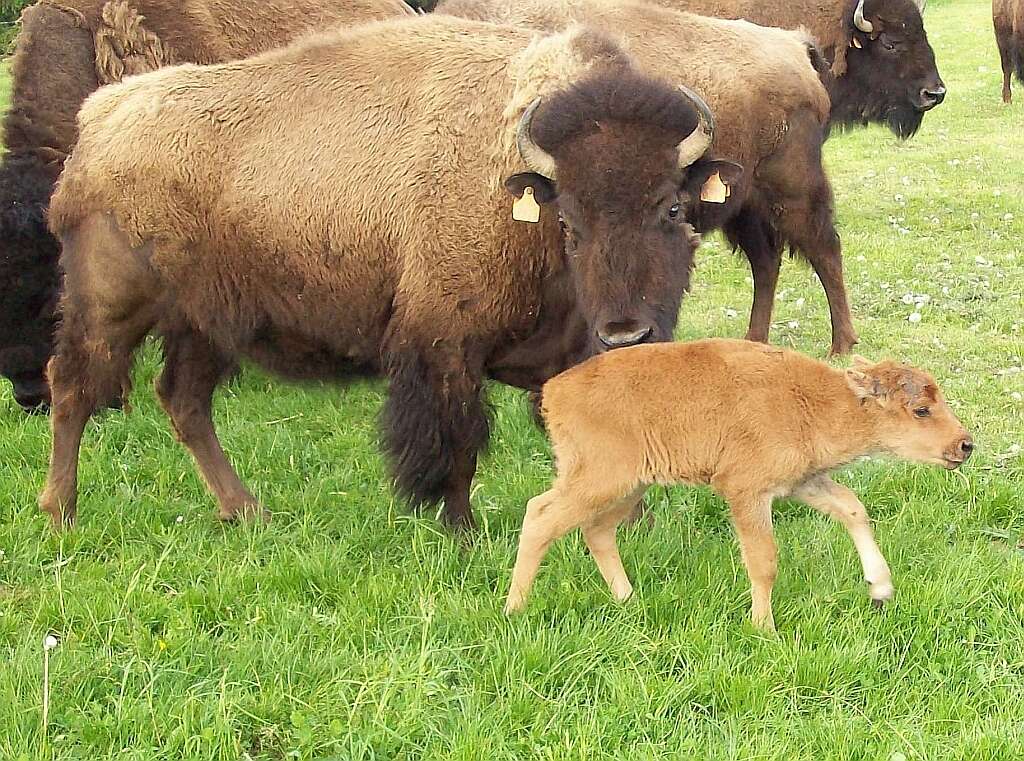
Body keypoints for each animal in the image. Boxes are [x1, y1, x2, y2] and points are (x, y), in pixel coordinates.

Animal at [41, 14, 745, 532]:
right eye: (568, 221)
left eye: (673, 207)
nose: (626, 334)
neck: (518, 188)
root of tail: (99, 118)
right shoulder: (445, 346)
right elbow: (457, 440)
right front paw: (460, 531)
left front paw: (627, 522)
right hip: (111, 304)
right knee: (73, 385)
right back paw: (62, 514)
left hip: (204, 323)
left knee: (183, 401)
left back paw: (247, 512)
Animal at [442, 0, 864, 354]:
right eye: (565, 221)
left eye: (673, 209)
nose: (625, 335)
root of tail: (794, 44)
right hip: (744, 203)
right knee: (766, 260)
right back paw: (754, 341)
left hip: (793, 192)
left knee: (825, 249)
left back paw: (841, 346)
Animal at [507, 340, 970, 630]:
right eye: (921, 409)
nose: (965, 445)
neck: (819, 401)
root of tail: (554, 390)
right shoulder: (747, 492)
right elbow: (763, 559)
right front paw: (764, 627)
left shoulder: (802, 482)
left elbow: (853, 507)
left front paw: (881, 589)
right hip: (598, 479)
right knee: (540, 516)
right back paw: (515, 609)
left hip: (630, 485)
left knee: (597, 530)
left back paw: (629, 600)